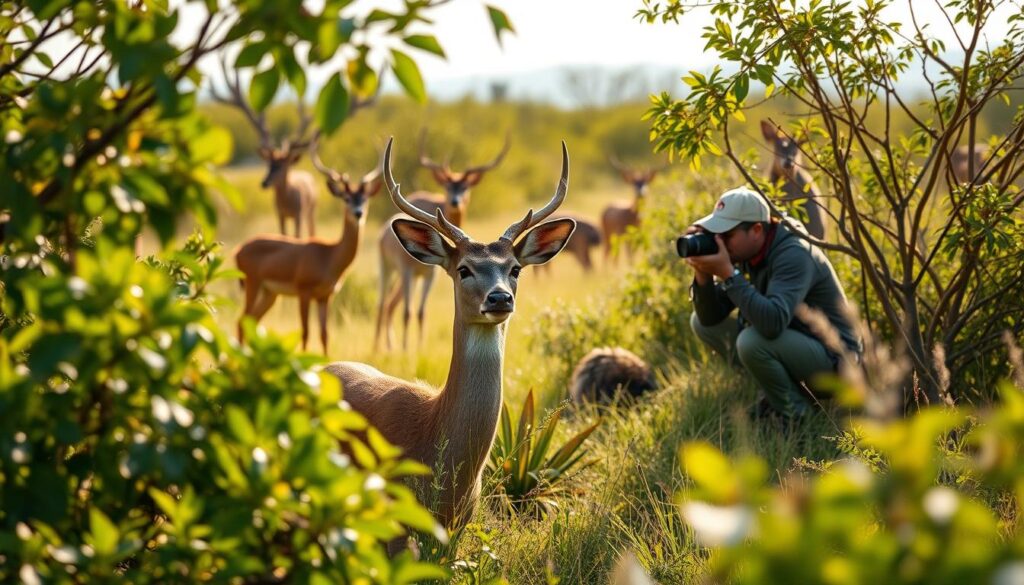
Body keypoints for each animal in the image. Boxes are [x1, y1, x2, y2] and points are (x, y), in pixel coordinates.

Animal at [234, 139, 382, 354]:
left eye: (365, 198)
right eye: (346, 198)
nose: (358, 213)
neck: (330, 255)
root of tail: (238, 250)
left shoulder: (325, 297)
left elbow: (324, 335)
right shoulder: (304, 293)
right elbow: (305, 332)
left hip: (270, 294)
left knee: (251, 321)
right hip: (253, 286)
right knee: (241, 321)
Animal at [374, 130, 509, 350]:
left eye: (465, 186)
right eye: (447, 185)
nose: (455, 202)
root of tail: (384, 232)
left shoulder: (430, 274)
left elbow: (421, 312)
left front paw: (420, 348)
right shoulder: (407, 270)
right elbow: (408, 312)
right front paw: (406, 350)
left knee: (391, 304)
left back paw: (390, 345)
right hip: (389, 269)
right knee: (383, 303)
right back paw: (380, 347)